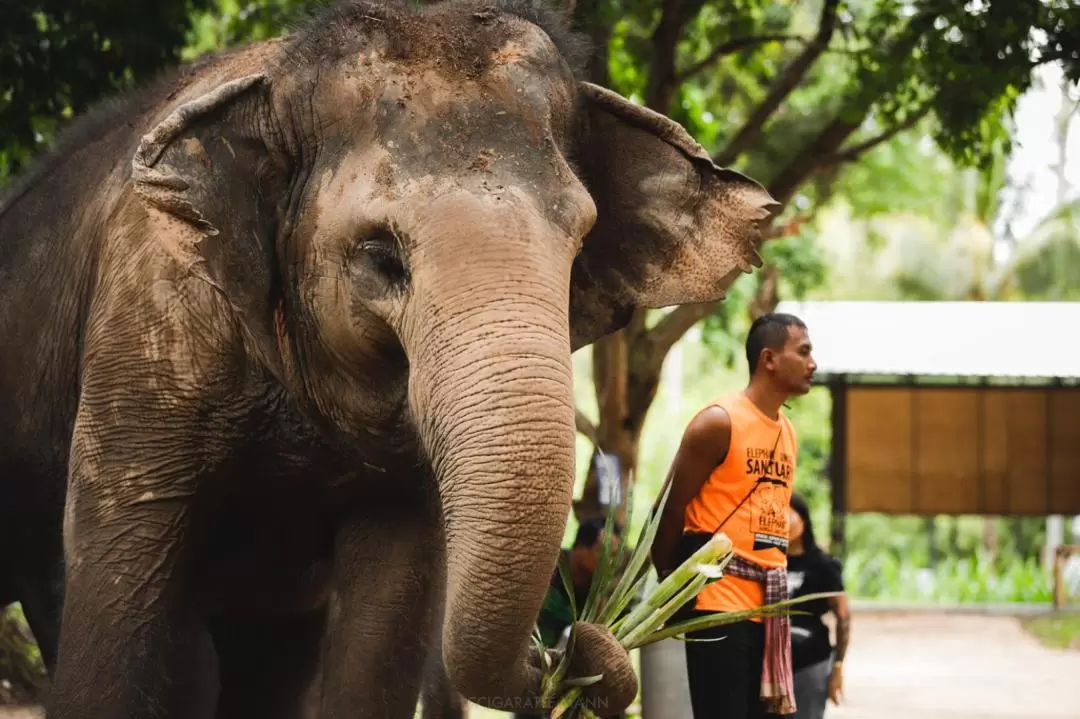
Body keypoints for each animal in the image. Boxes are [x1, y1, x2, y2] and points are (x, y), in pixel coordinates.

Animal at [0, 0, 777, 712]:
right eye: (380, 256)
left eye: (581, 242)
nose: (569, 647)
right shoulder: (148, 330)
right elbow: (122, 587)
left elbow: (387, 616)